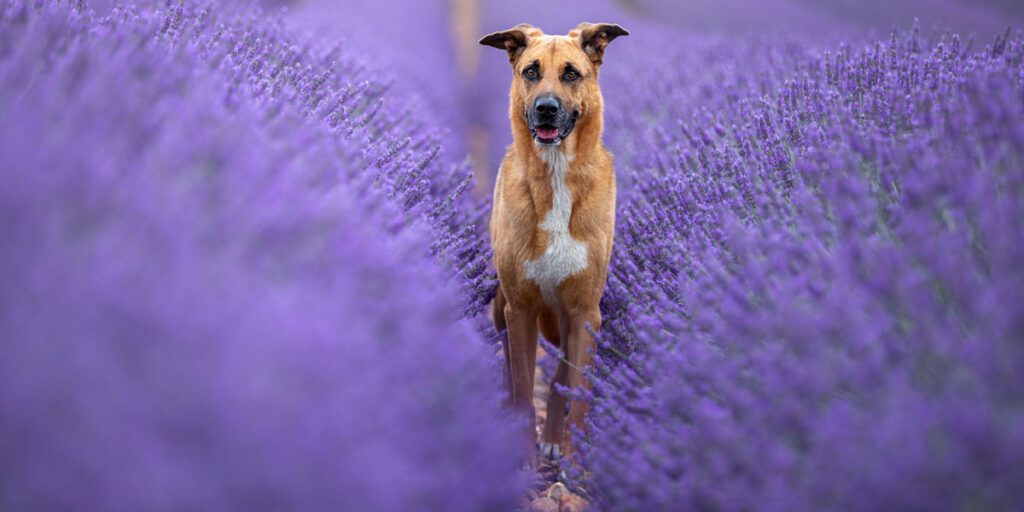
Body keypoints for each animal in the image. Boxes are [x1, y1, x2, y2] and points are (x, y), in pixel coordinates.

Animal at [481, 22, 630, 462]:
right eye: (531, 71)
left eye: (570, 73)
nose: (546, 108)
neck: (557, 176)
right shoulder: (519, 309)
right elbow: (523, 386)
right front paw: (524, 450)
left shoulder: (584, 312)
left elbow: (576, 388)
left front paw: (573, 459)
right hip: (501, 307)